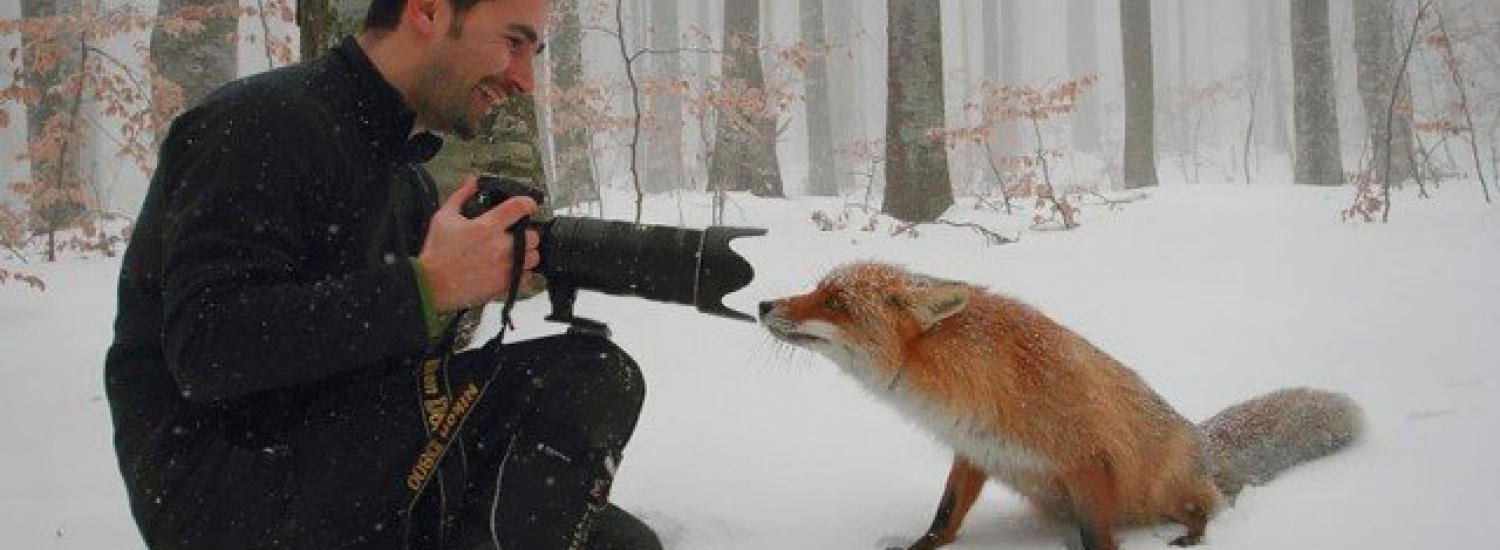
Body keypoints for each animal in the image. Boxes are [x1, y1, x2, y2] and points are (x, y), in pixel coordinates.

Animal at [762, 262, 1362, 550]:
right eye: (817, 289)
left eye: (834, 303)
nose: (764, 303)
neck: (976, 379)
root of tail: (1201, 440)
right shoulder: (974, 450)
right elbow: (944, 517)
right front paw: (919, 547)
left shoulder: (1089, 459)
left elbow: (1097, 539)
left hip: (1167, 488)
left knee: (1210, 508)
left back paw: (1192, 536)